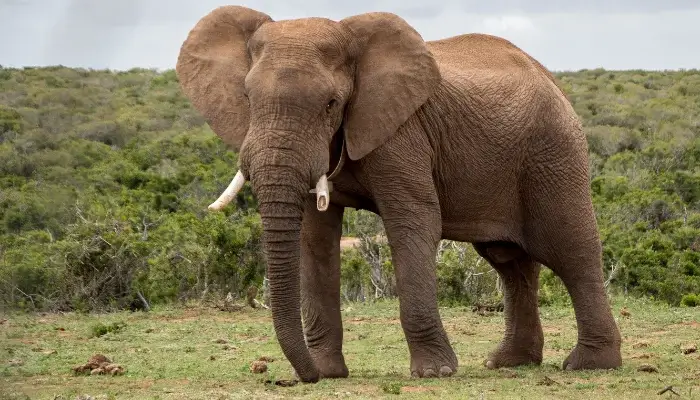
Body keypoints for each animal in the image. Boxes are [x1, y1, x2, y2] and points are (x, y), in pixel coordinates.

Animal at [175, 5, 624, 382]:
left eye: (331, 103)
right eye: (248, 99)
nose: (305, 377)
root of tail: (551, 78)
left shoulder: (403, 133)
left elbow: (414, 222)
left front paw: (434, 373)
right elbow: (314, 238)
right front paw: (328, 372)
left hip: (554, 152)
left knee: (570, 250)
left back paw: (590, 365)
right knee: (509, 262)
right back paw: (509, 363)